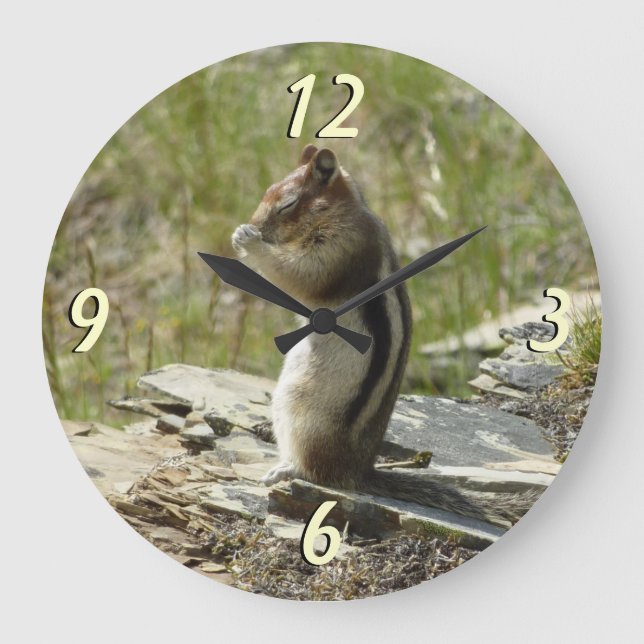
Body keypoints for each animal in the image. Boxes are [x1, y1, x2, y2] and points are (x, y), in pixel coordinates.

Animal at [232, 144, 537, 527]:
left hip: (298, 411)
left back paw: (286, 470)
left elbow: (301, 275)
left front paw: (249, 240)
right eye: (267, 190)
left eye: (287, 204)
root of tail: (358, 471)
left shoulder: (339, 247)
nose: (256, 225)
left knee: (315, 472)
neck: (340, 213)